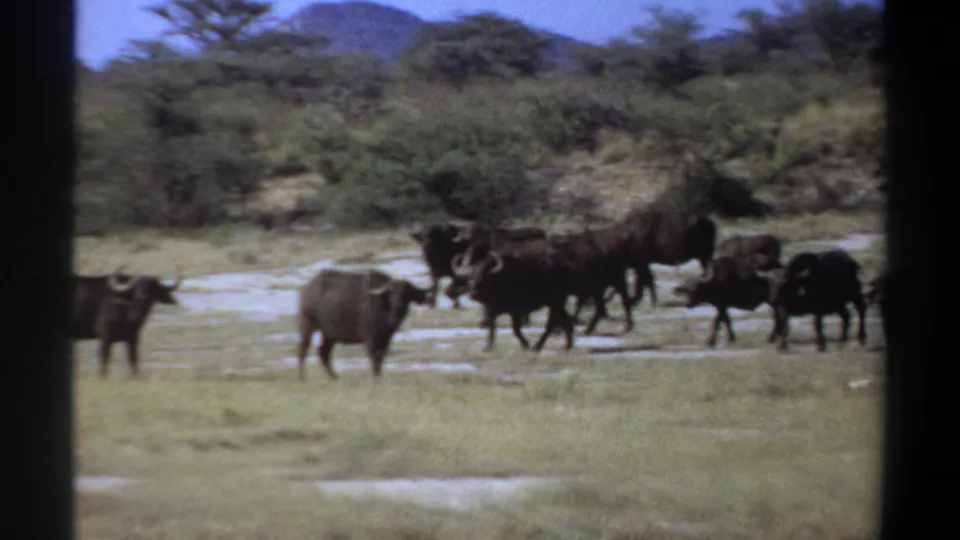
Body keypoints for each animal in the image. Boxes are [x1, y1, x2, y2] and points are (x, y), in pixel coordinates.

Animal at [295, 268, 432, 380]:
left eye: (407, 293)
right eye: (391, 293)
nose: (399, 306)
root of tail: (307, 289)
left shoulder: (386, 339)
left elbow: (381, 357)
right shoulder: (370, 338)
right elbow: (374, 358)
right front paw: (376, 378)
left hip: (329, 334)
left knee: (323, 352)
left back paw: (334, 377)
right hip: (307, 326)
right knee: (303, 350)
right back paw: (302, 377)